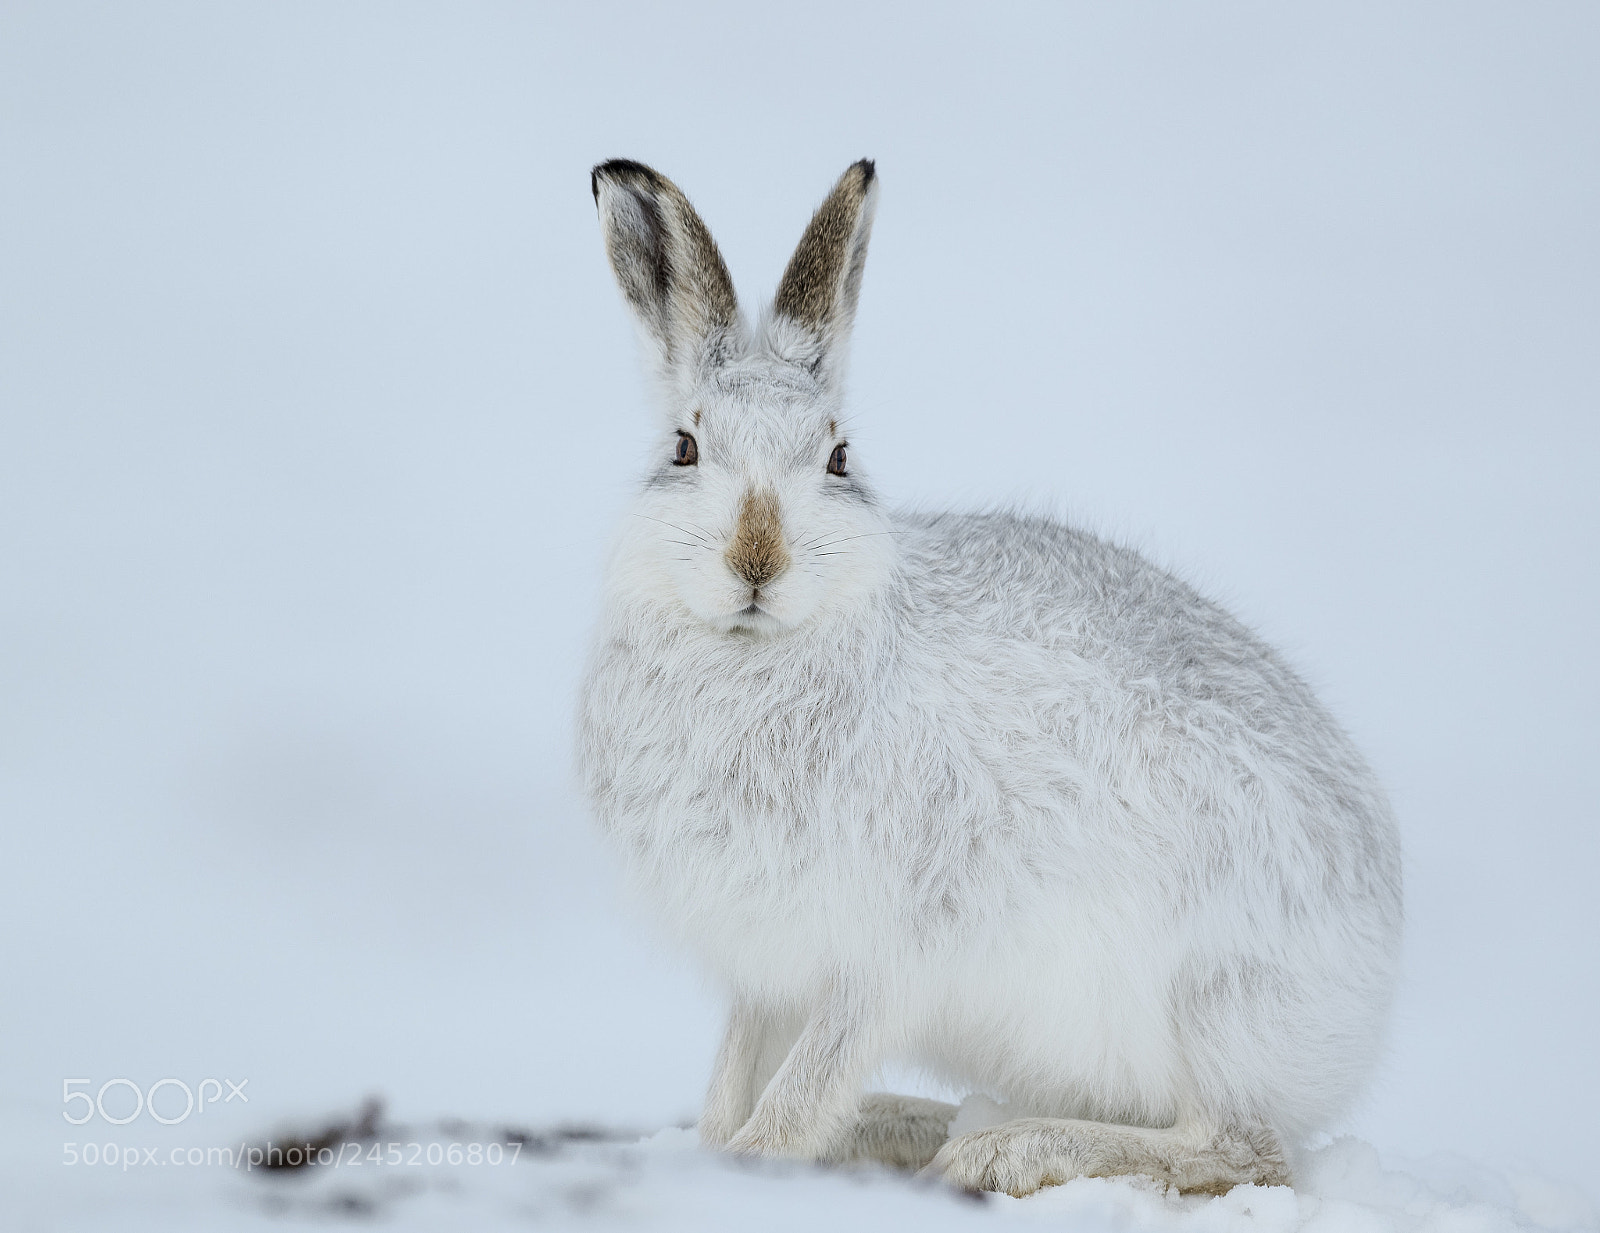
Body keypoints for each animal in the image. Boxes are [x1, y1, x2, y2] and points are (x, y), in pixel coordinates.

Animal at [578, 158, 1403, 1198]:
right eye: (683, 448)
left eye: (839, 456)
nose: (757, 557)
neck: (758, 649)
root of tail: (1372, 989)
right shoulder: (767, 964)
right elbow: (734, 1081)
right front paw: (724, 1149)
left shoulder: (885, 951)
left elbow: (805, 1083)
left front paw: (758, 1159)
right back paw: (925, 1126)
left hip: (1207, 995)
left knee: (1245, 1150)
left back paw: (1001, 1149)